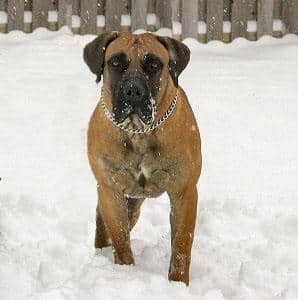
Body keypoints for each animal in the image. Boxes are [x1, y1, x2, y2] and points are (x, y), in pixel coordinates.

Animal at [82, 31, 201, 284]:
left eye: (154, 64)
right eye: (115, 62)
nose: (133, 90)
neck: (139, 132)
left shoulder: (184, 191)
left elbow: (181, 246)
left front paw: (177, 284)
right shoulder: (110, 190)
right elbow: (120, 238)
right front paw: (126, 272)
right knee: (103, 224)